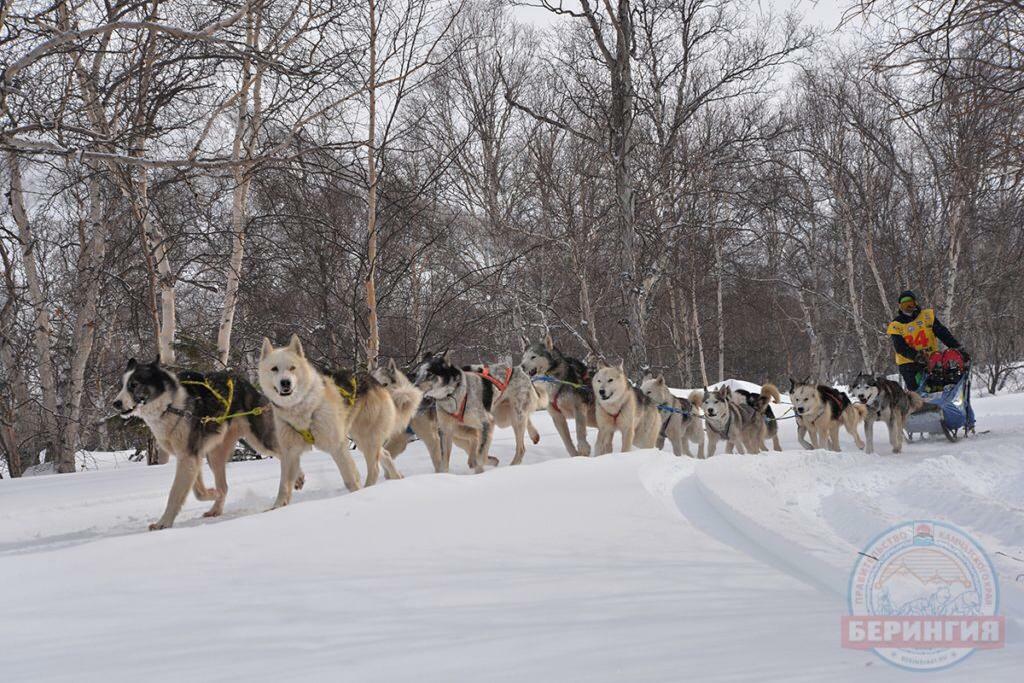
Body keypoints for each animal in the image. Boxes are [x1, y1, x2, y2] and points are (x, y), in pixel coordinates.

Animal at [112, 356, 292, 532]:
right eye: (122, 385)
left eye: (134, 384)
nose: (116, 403)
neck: (170, 406)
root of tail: (245, 383)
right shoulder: (192, 457)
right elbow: (198, 492)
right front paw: (214, 493)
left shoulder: (188, 457)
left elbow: (175, 493)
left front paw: (163, 523)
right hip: (214, 456)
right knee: (224, 486)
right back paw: (216, 508)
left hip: (261, 440)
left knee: (286, 456)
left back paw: (286, 492)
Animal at [256, 335, 403, 507]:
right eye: (274, 369)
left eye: (292, 368)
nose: (285, 382)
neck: (301, 408)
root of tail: (375, 382)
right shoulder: (290, 454)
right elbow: (284, 487)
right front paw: (277, 508)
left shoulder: (337, 447)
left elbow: (350, 478)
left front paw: (356, 496)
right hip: (362, 439)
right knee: (385, 454)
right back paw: (396, 478)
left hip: (367, 439)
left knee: (374, 468)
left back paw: (368, 490)